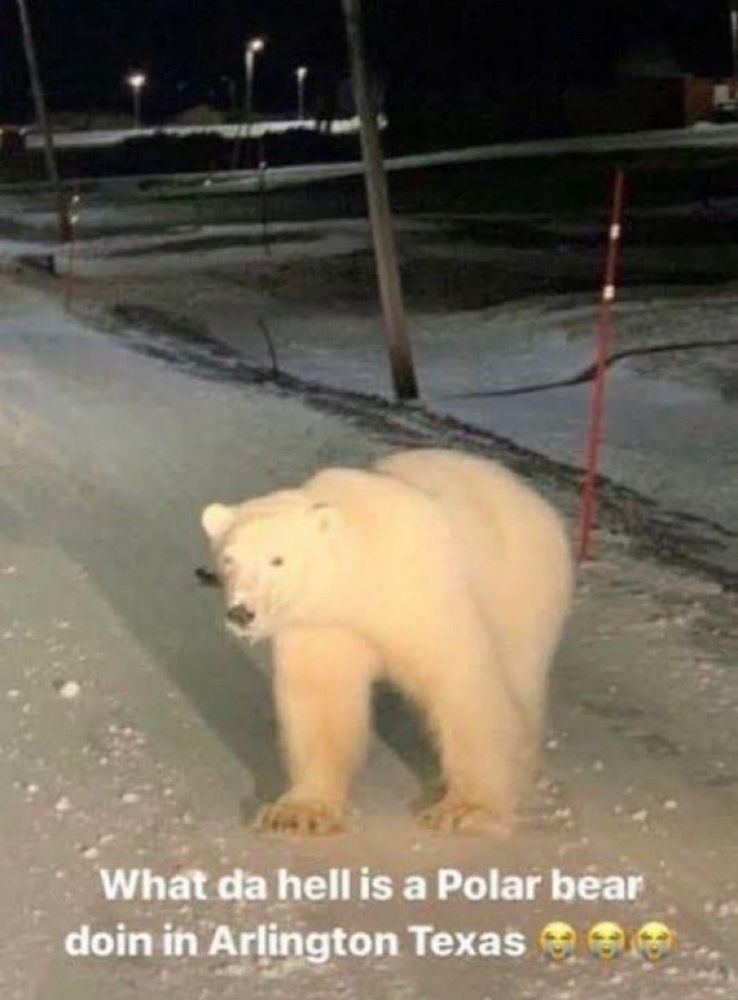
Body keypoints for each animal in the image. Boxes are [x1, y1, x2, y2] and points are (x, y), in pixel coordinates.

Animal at [201, 448, 573, 836]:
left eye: (278, 559)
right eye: (228, 559)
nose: (241, 613)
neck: (362, 567)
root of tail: (531, 498)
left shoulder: (417, 589)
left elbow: (460, 682)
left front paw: (464, 810)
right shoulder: (325, 624)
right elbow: (321, 698)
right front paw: (301, 812)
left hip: (521, 585)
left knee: (519, 676)